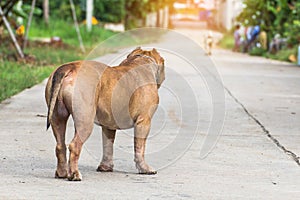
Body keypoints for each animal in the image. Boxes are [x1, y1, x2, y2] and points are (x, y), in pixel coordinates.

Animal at [45, 47, 165, 181]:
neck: (140, 61)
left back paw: (62, 173)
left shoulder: (109, 125)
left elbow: (108, 145)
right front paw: (145, 168)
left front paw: (105, 167)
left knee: (60, 145)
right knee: (74, 146)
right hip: (85, 121)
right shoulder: (144, 121)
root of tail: (68, 67)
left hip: (57, 117)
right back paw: (75, 174)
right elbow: (140, 147)